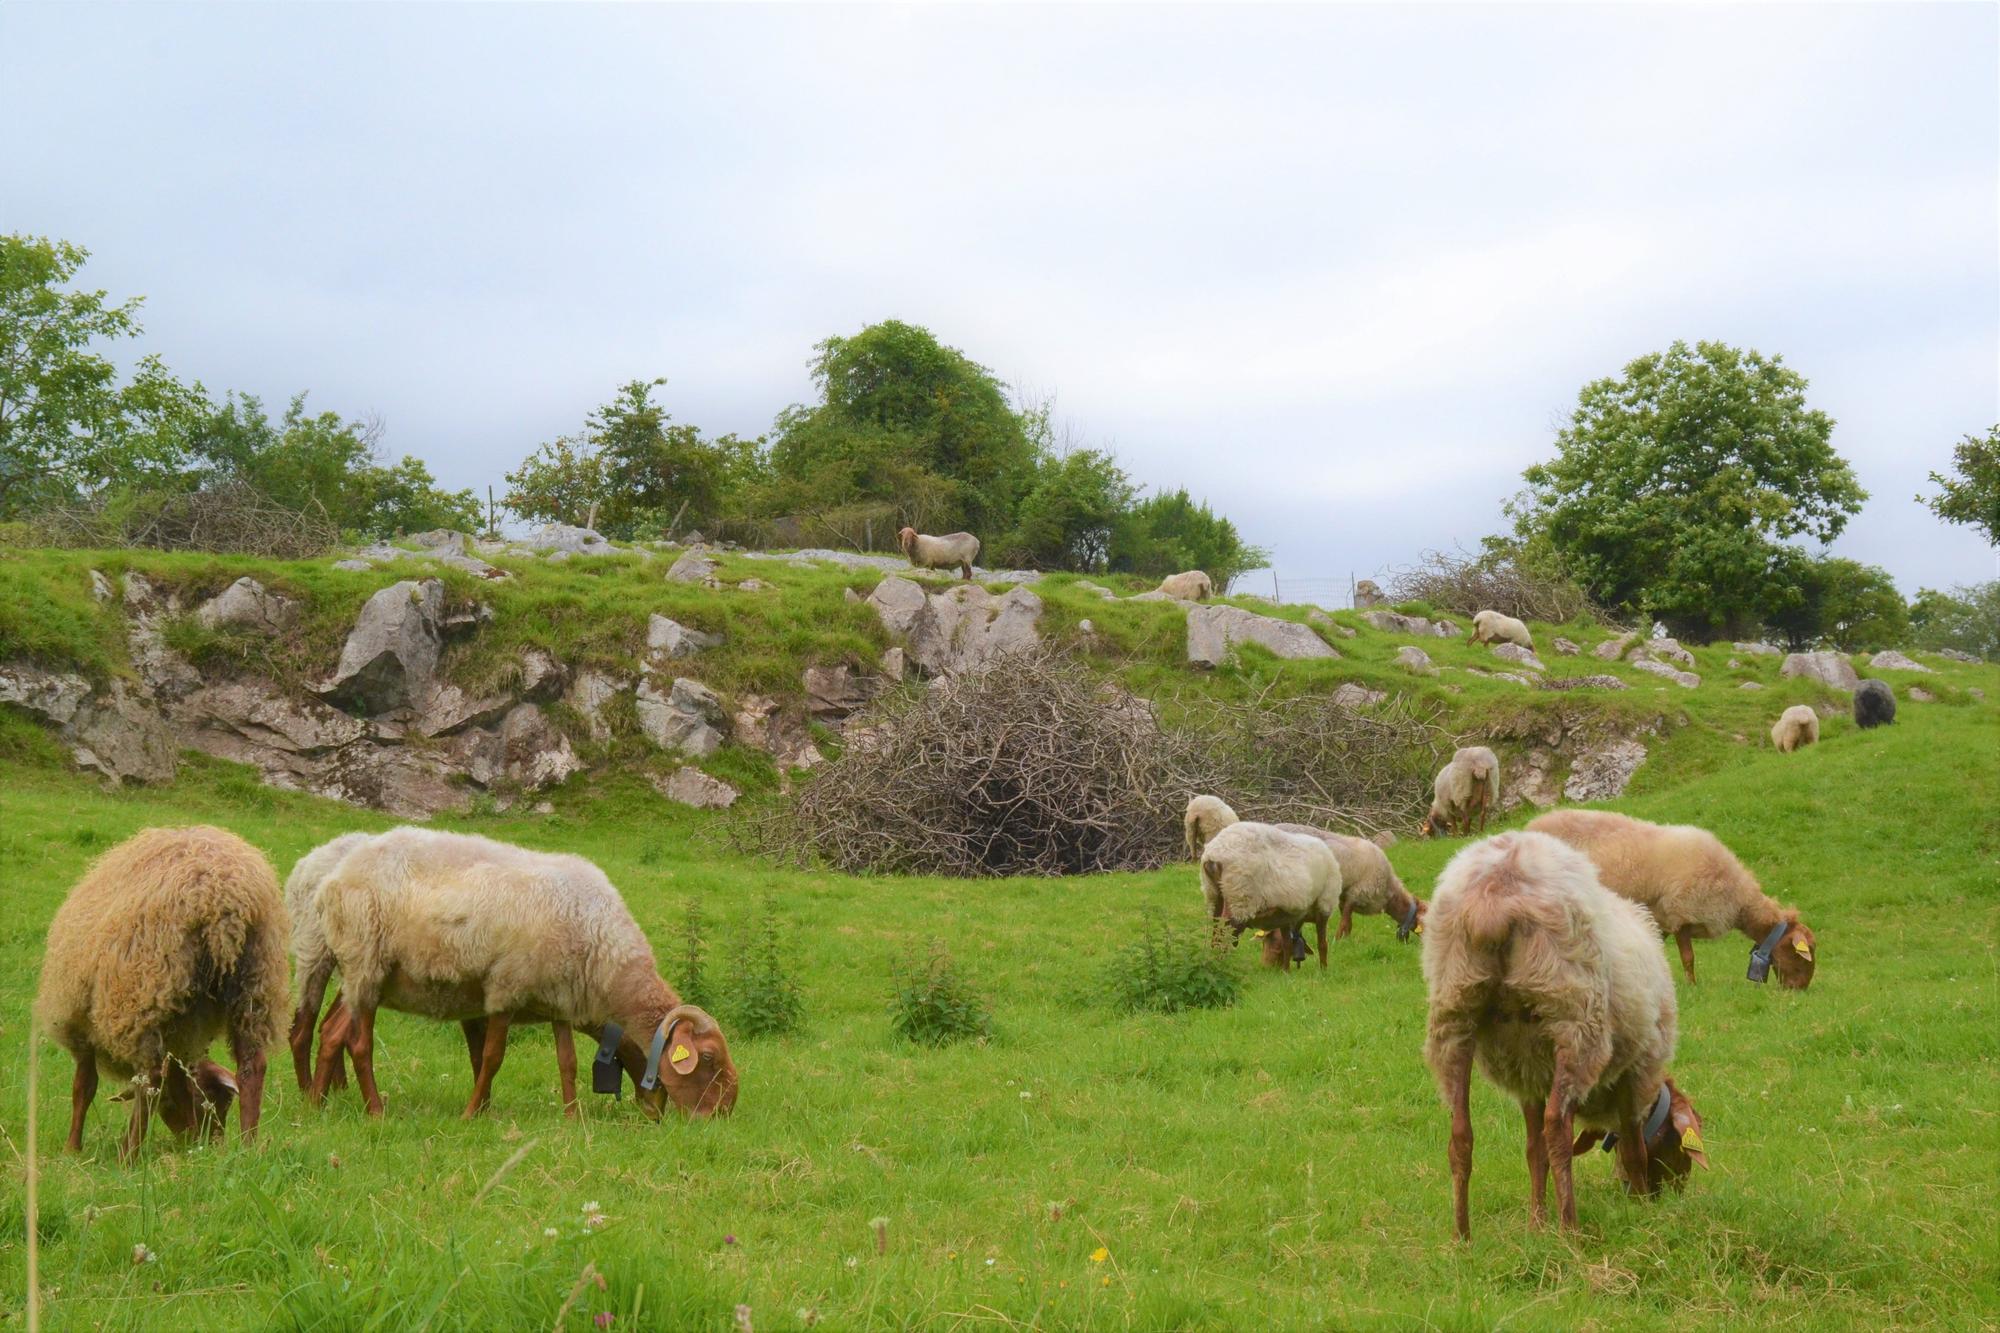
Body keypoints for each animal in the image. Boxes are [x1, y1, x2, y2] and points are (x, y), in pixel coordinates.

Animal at [34, 824, 290, 1160]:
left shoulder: (81, 1029)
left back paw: (128, 1154)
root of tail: (223, 897)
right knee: (252, 1064)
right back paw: (248, 1146)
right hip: (257, 983)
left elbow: (83, 1087)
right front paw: (193, 1139)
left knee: (151, 1078)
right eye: (213, 1100)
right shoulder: (182, 1034)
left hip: (144, 994)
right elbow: (179, 1085)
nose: (214, 1141)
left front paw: (72, 1148)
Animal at [316, 824, 740, 1112]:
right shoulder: (507, 988)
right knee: (355, 1040)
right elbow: (492, 1058)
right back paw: (368, 1109)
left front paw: (572, 1117)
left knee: (333, 1030)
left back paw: (316, 1101)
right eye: (707, 1059)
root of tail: (337, 875)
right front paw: (472, 1114)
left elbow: (567, 1062)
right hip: (365, 964)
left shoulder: (560, 1000)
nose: (721, 1114)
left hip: (366, 976)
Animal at [1192, 820, 1352, 964]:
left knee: (1215, 930)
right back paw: (1221, 961)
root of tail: (1215, 853)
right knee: (1225, 932)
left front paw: (1286, 972)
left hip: (1213, 894)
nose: (1268, 966)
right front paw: (1323, 971)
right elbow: (1322, 945)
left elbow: (1287, 944)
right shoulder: (1324, 905)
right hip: (1239, 896)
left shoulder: (1285, 916)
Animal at [1416, 832, 1712, 1232]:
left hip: (1454, 1013)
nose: (1669, 1195)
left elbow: (1533, 1150)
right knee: (1556, 1126)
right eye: (1679, 1148)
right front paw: (1638, 1212)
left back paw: (1462, 1236)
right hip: (1575, 1017)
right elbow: (1633, 1149)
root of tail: (1494, 897)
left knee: (1461, 1134)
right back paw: (1571, 1230)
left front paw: (1536, 1224)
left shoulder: (1526, 1069)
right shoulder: (1635, 1070)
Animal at [1520, 804, 1824, 980]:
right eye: (1800, 953)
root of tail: (1530, 826)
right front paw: (1692, 986)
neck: (1738, 898)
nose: (1801, 991)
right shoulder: (1681, 915)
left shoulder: (1662, 918)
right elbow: (1688, 958)